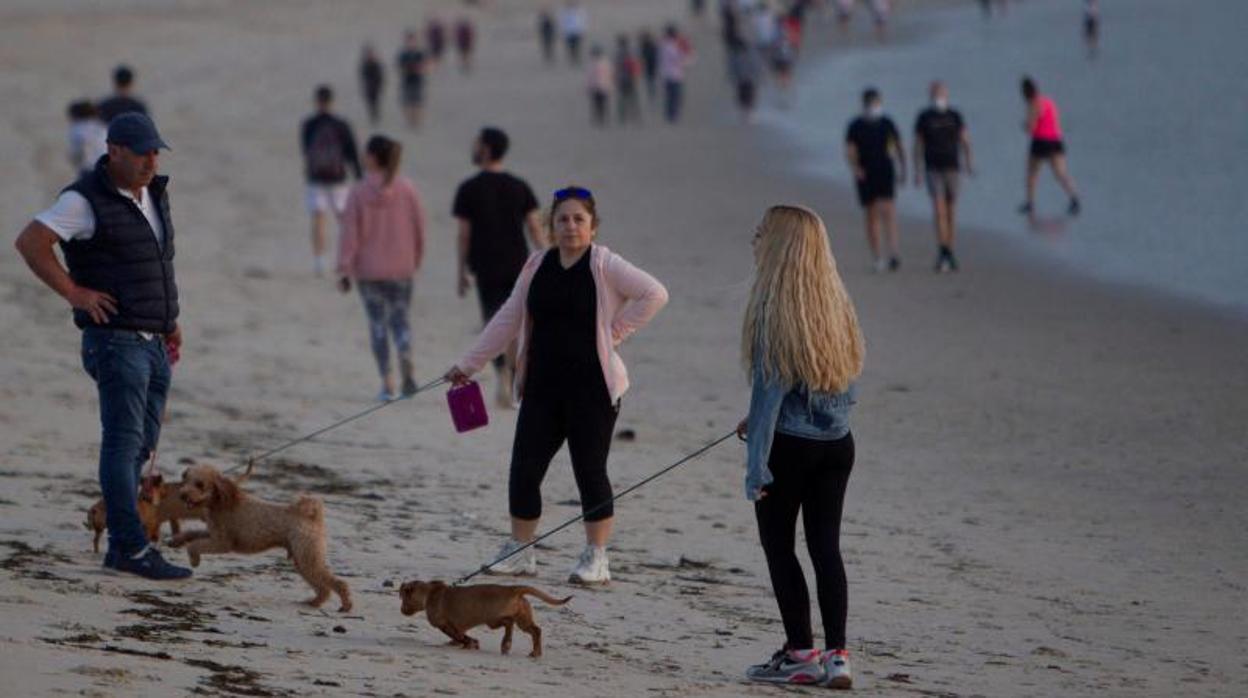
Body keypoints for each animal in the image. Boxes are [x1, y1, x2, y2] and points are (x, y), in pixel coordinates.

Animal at [168, 466, 354, 614]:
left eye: (200, 484)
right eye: (185, 479)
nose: (183, 495)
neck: (222, 502)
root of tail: (312, 517)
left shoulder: (222, 542)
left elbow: (194, 546)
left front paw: (194, 560)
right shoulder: (212, 534)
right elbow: (192, 534)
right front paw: (175, 540)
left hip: (307, 557)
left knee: (338, 583)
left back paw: (345, 605)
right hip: (303, 559)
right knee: (323, 586)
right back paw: (314, 602)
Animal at [399, 581, 571, 659]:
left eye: (403, 598)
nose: (401, 611)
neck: (429, 593)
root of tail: (513, 589)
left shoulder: (445, 625)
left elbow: (459, 636)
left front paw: (469, 644)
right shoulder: (457, 626)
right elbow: (461, 635)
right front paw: (466, 643)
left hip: (493, 619)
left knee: (509, 623)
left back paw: (506, 644)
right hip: (523, 620)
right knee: (535, 630)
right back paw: (535, 652)